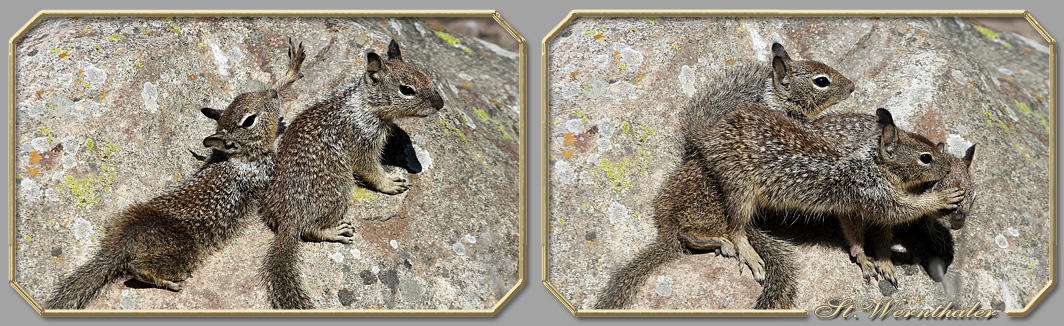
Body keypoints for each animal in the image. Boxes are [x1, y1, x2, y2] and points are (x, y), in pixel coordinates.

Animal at [45, 39, 304, 308]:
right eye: (249, 120)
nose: (272, 94)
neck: (237, 157)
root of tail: (129, 235)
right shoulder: (263, 173)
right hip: (185, 248)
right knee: (137, 268)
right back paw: (167, 281)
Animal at [261, 39, 444, 308]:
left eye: (427, 77)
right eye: (407, 89)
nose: (440, 104)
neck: (363, 104)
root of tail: (287, 221)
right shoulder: (362, 141)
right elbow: (369, 168)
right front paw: (389, 182)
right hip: (340, 188)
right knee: (309, 230)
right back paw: (335, 231)